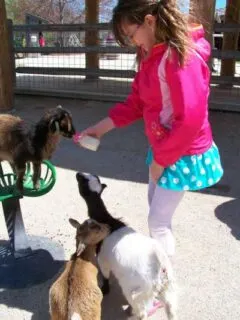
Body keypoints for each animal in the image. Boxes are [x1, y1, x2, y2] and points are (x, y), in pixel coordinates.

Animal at [76, 172, 177, 320]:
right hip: (167, 288)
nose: (78, 174)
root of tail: (160, 265)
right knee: (171, 308)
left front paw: (104, 290)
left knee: (142, 312)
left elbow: (105, 276)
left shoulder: (103, 260)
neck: (108, 221)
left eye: (83, 181)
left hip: (135, 290)